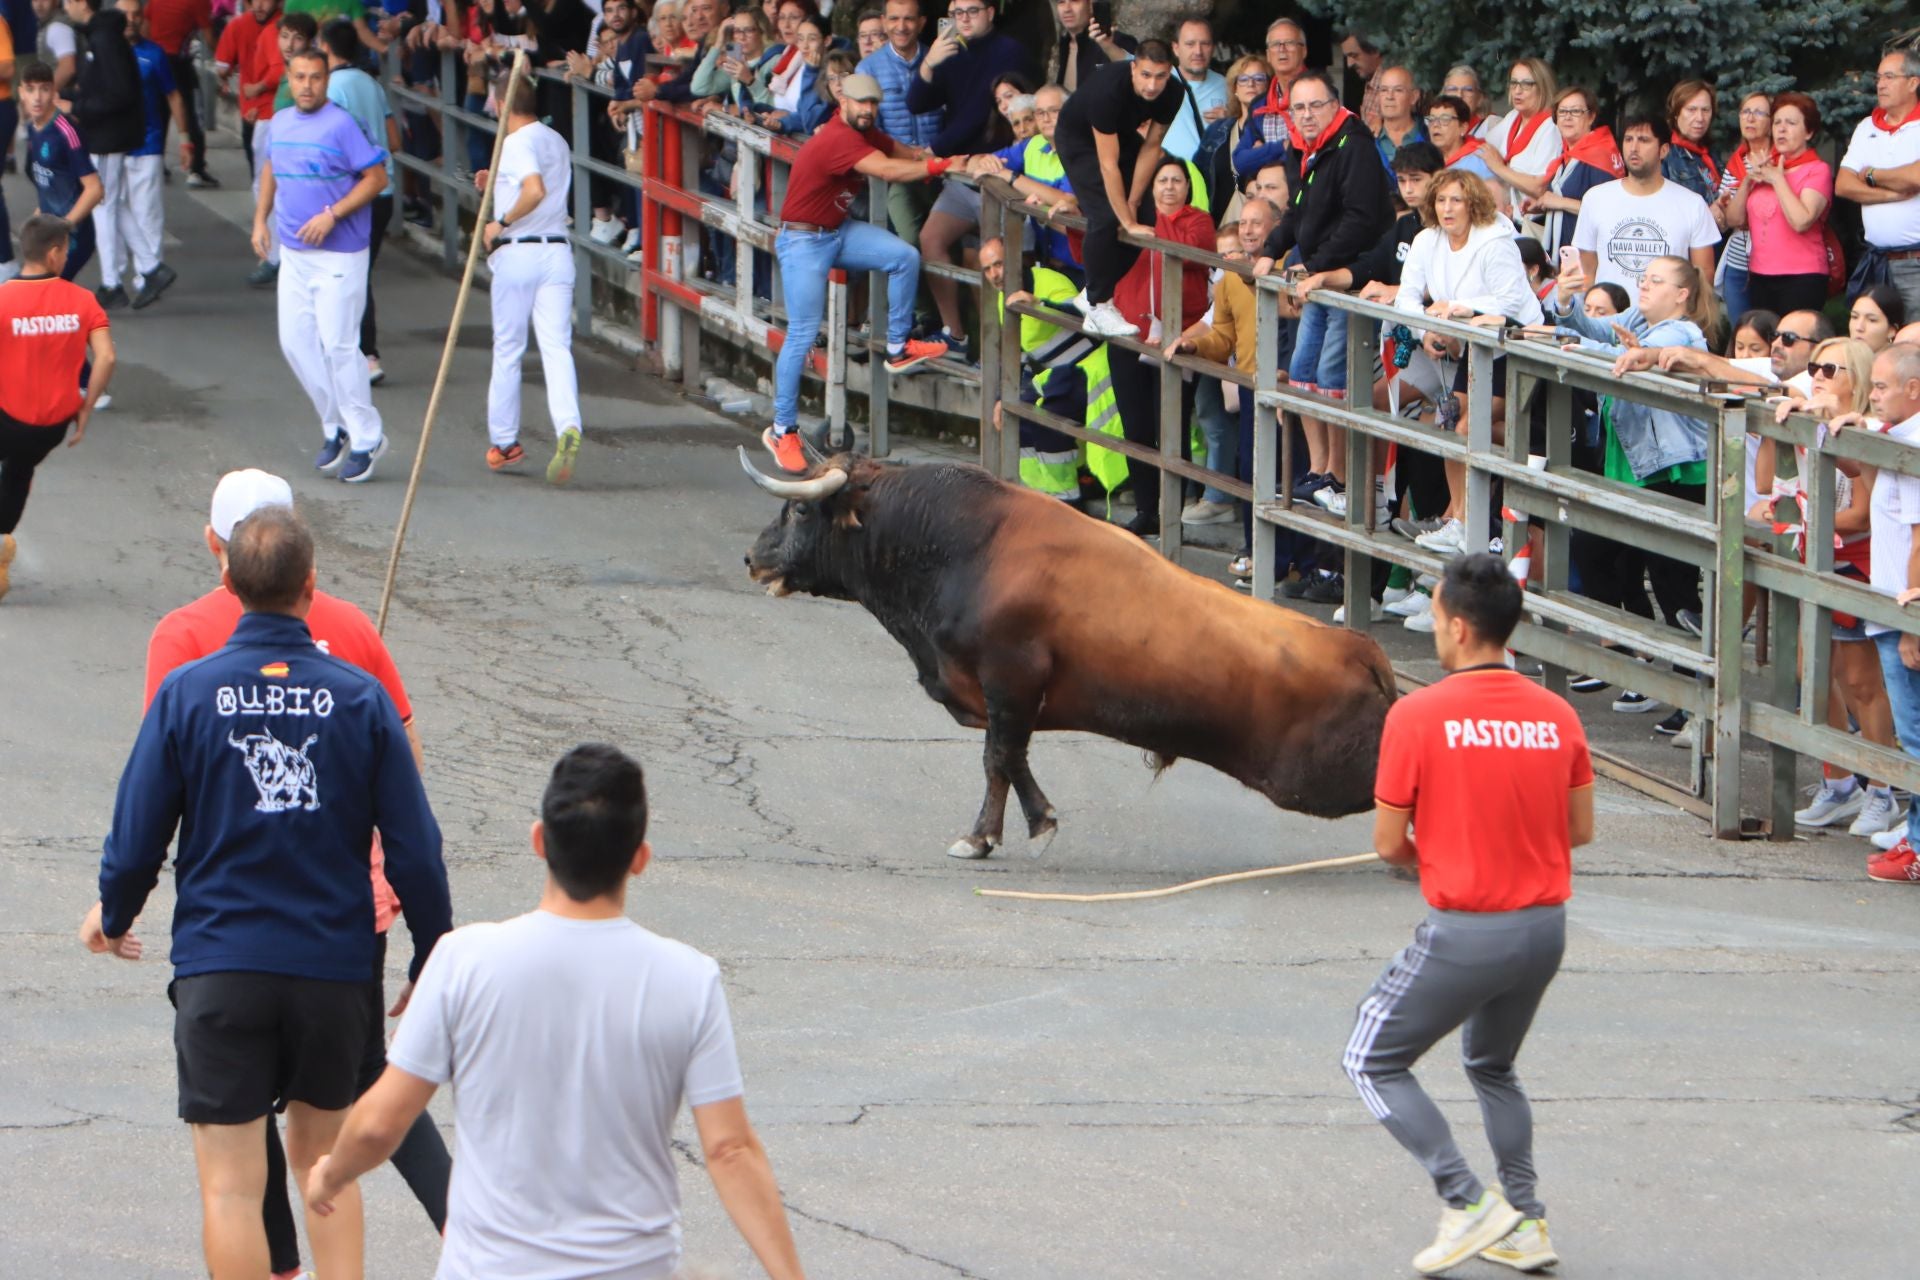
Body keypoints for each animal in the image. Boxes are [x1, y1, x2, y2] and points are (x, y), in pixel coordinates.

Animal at [737, 450, 1397, 859]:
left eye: (799, 508)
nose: (752, 557)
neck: (959, 544)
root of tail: (1364, 650)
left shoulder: (1012, 680)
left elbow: (999, 757)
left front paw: (1003, 832)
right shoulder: (1008, 697)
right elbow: (1004, 761)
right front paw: (1011, 829)